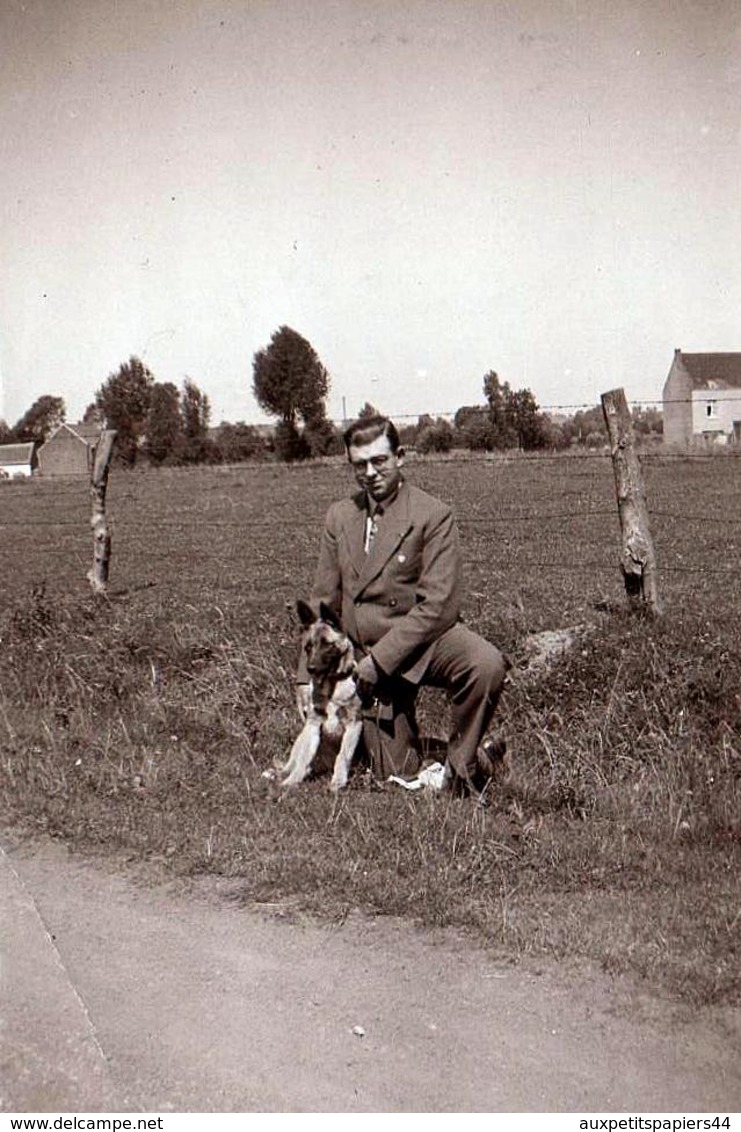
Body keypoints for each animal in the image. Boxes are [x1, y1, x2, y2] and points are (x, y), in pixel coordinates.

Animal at [281, 597, 364, 792]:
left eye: (327, 644)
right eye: (308, 647)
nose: (310, 669)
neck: (331, 686)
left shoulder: (354, 724)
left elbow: (342, 756)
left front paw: (338, 781)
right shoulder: (313, 724)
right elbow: (304, 759)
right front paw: (292, 781)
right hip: (303, 736)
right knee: (295, 761)